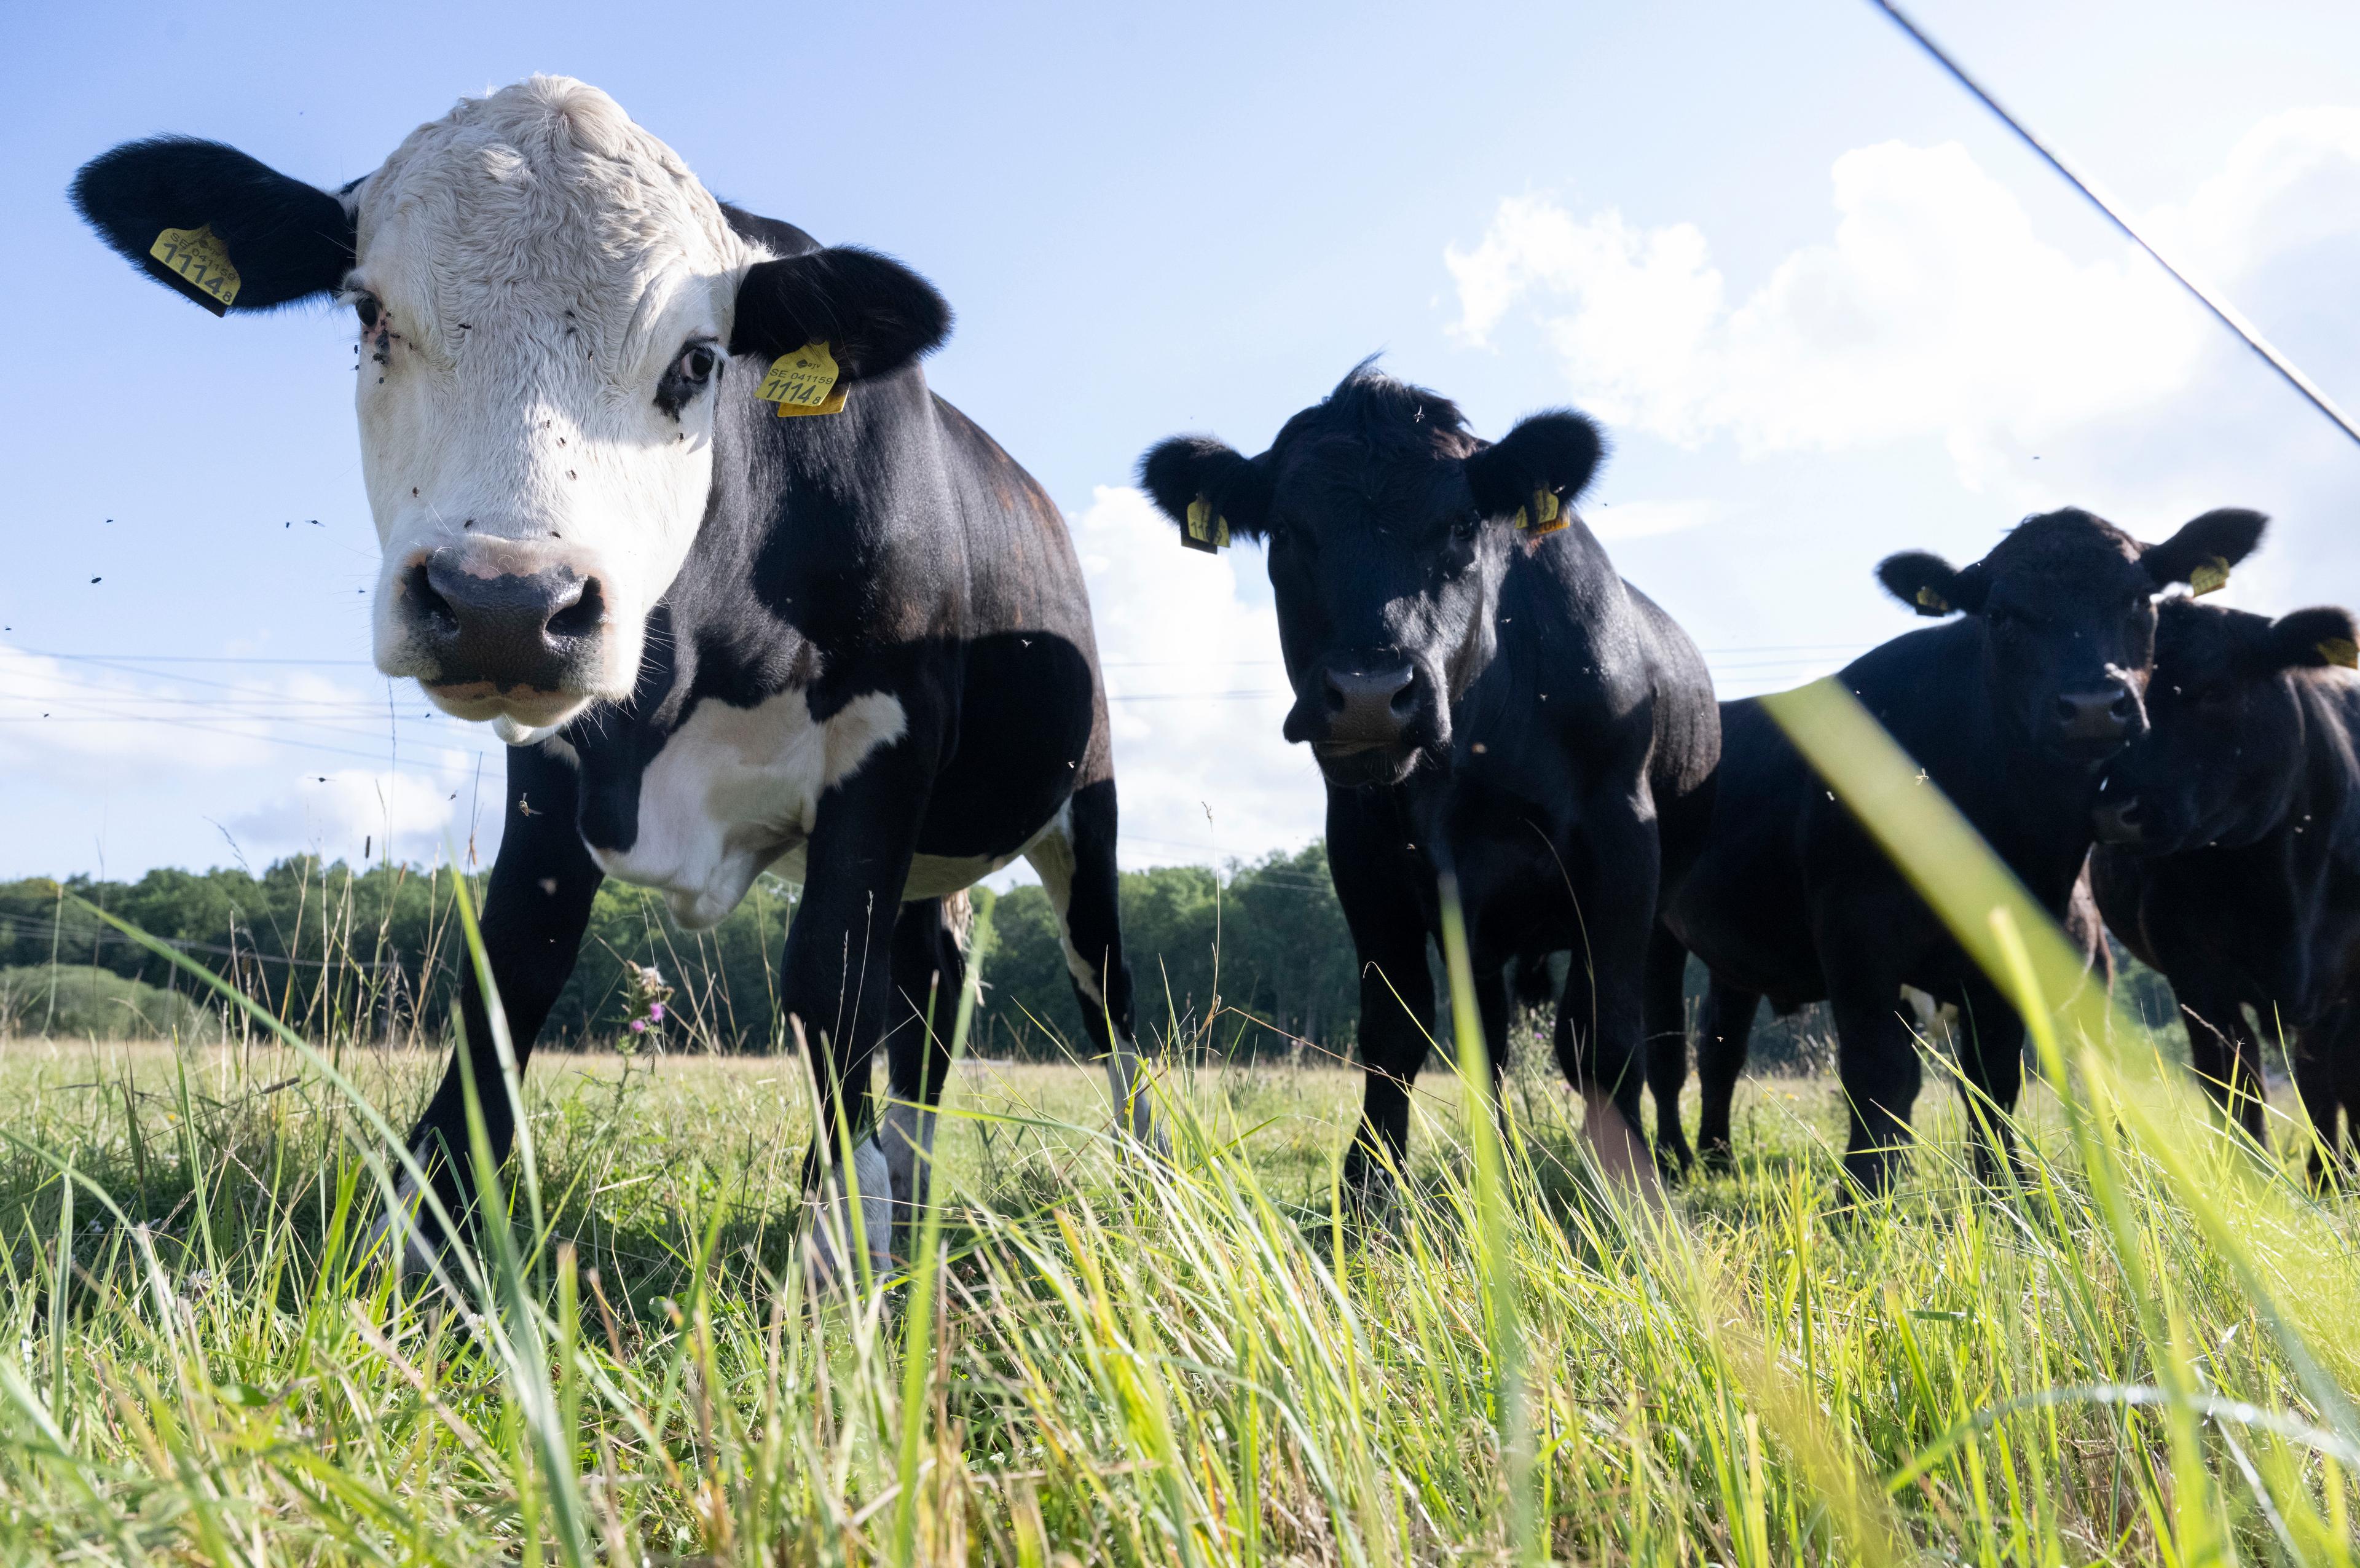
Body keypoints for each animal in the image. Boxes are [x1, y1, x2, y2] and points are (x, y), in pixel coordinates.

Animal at [66, 73, 1151, 1282]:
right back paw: (916, 1210)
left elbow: (828, 985)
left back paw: (1137, 1187)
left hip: (1084, 805)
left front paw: (840, 1255)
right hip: (936, 860)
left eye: (698, 360)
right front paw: (426, 1248)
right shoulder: (555, 764)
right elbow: (511, 976)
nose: (502, 601)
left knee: (1101, 993)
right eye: (368, 314)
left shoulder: (885, 753)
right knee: (933, 983)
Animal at [1137, 363, 1718, 1198]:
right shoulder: (1367, 853)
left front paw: (1627, 1193)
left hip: (1658, 917)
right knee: (1498, 1042)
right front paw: (1369, 1193)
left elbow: (1609, 1036)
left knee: (1636, 1036)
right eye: (1285, 530)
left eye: (1463, 525)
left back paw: (1655, 1153)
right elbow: (1395, 1032)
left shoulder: (1621, 840)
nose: (1370, 693)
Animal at [1642, 507, 2265, 1193]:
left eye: (2139, 599)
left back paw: (1718, 1158)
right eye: (2001, 615)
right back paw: (1670, 1161)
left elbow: (1994, 1074)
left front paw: (2006, 1187)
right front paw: (1864, 1192)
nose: (2092, 708)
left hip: (1735, 945)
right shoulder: (1855, 933)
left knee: (1720, 1045)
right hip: (1655, 929)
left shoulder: (2012, 944)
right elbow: (1878, 1069)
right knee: (1666, 1050)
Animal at [2095, 596, 2350, 1174]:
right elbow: (2236, 1091)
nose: (2113, 809)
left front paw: (2331, 1180)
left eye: (2215, 690)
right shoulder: (2198, 984)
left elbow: (2326, 1085)